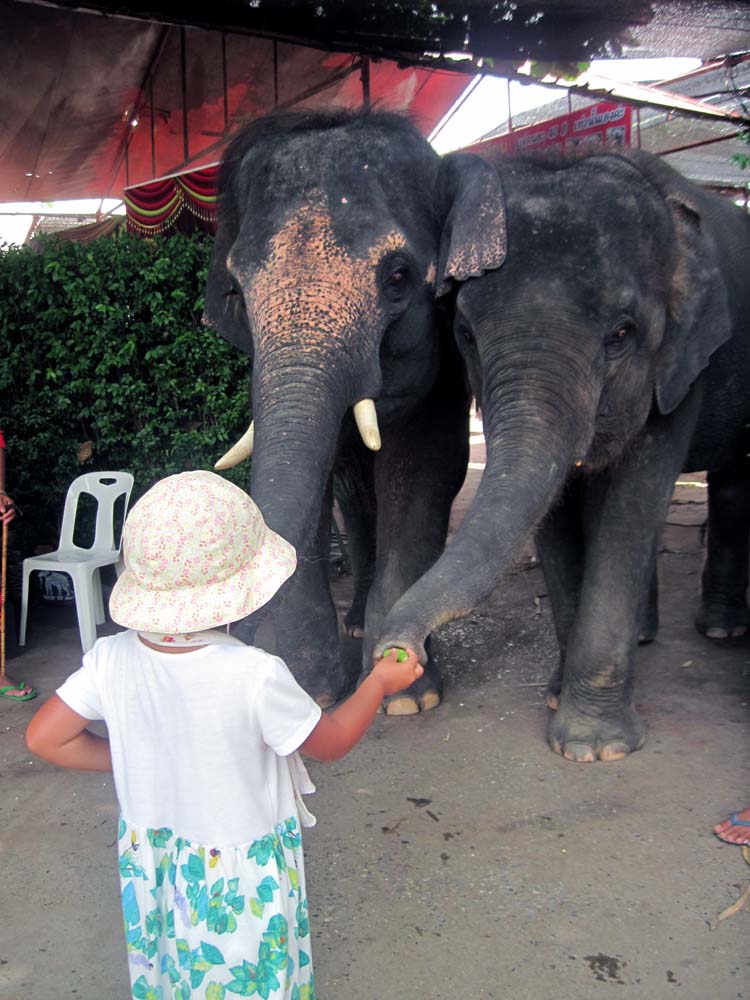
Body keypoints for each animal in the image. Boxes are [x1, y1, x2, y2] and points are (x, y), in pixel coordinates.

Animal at [203, 109, 505, 711]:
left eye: (398, 277)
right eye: (238, 294)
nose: (234, 636)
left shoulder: (444, 362)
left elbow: (425, 468)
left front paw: (407, 698)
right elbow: (312, 483)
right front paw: (314, 691)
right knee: (352, 496)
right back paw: (358, 623)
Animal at [377, 146, 750, 759]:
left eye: (621, 335)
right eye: (466, 334)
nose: (396, 653)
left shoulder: (681, 366)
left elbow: (629, 506)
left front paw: (593, 748)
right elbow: (555, 517)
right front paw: (557, 698)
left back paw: (720, 631)